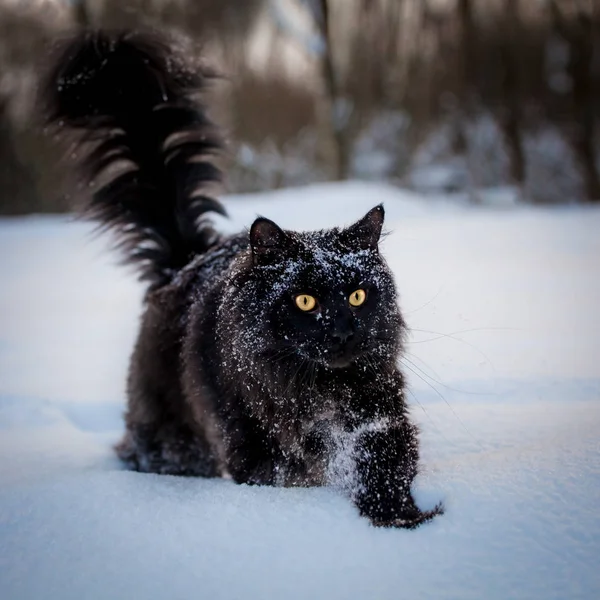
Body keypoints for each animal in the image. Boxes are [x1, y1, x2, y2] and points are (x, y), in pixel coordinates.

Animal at [42, 30, 442, 528]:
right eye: (305, 301)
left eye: (356, 296)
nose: (343, 331)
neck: (314, 388)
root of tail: (187, 261)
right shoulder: (255, 449)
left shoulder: (380, 417)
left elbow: (386, 467)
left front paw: (404, 519)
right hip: (172, 438)